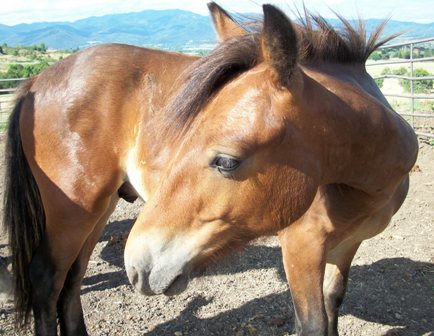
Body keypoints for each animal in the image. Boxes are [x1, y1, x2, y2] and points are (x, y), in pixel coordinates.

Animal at [2, 2, 418, 336]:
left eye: (227, 161)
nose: (138, 266)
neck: (366, 185)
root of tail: (37, 80)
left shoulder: (347, 248)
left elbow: (333, 304)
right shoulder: (302, 248)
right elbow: (313, 324)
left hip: (99, 209)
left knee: (71, 282)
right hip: (74, 210)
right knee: (47, 280)